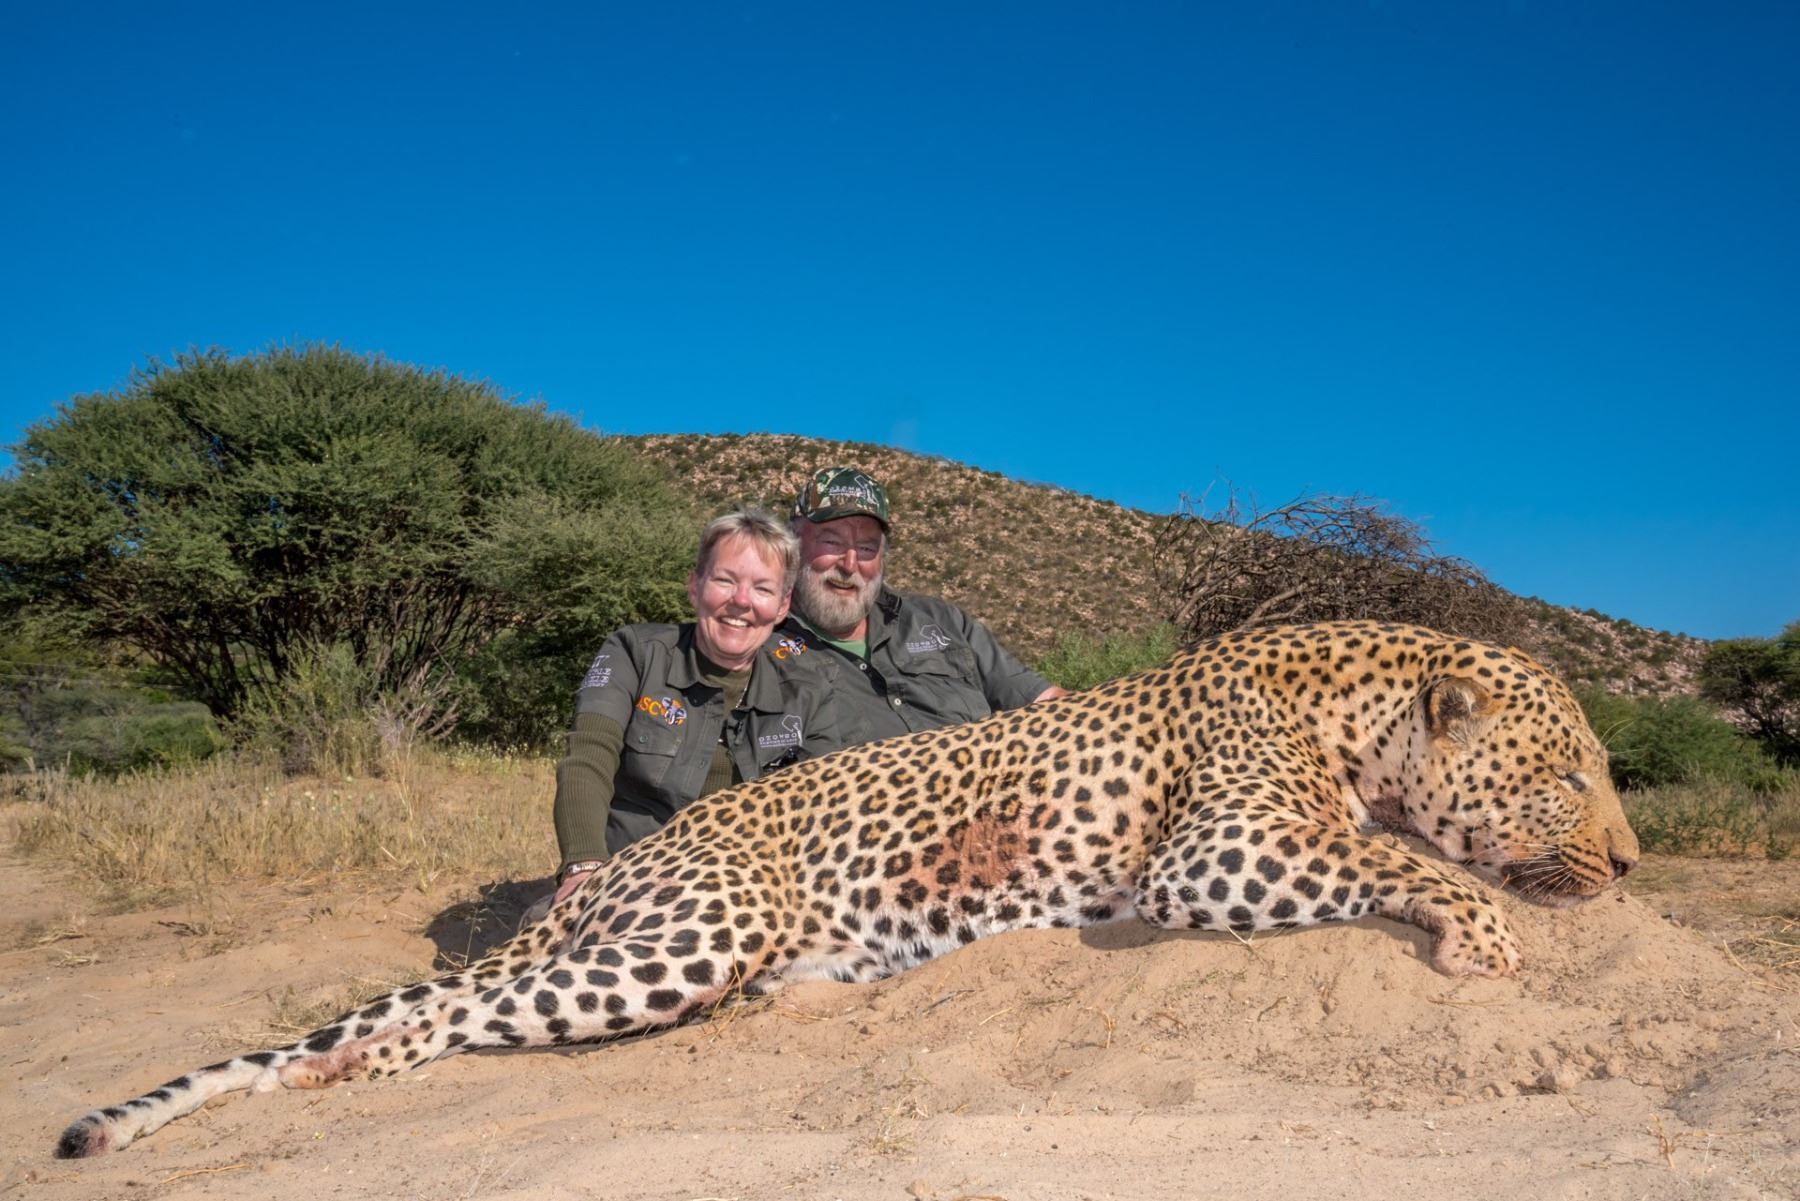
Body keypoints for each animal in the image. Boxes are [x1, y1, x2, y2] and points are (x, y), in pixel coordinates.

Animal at [55, 621, 1638, 1157]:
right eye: (1570, 775)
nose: (1631, 862)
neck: (1357, 707)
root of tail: (618, 865)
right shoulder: (1220, 847)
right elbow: (1406, 858)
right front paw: (1482, 932)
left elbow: (1401, 846)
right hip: (698, 923)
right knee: (446, 1010)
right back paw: (355, 1073)